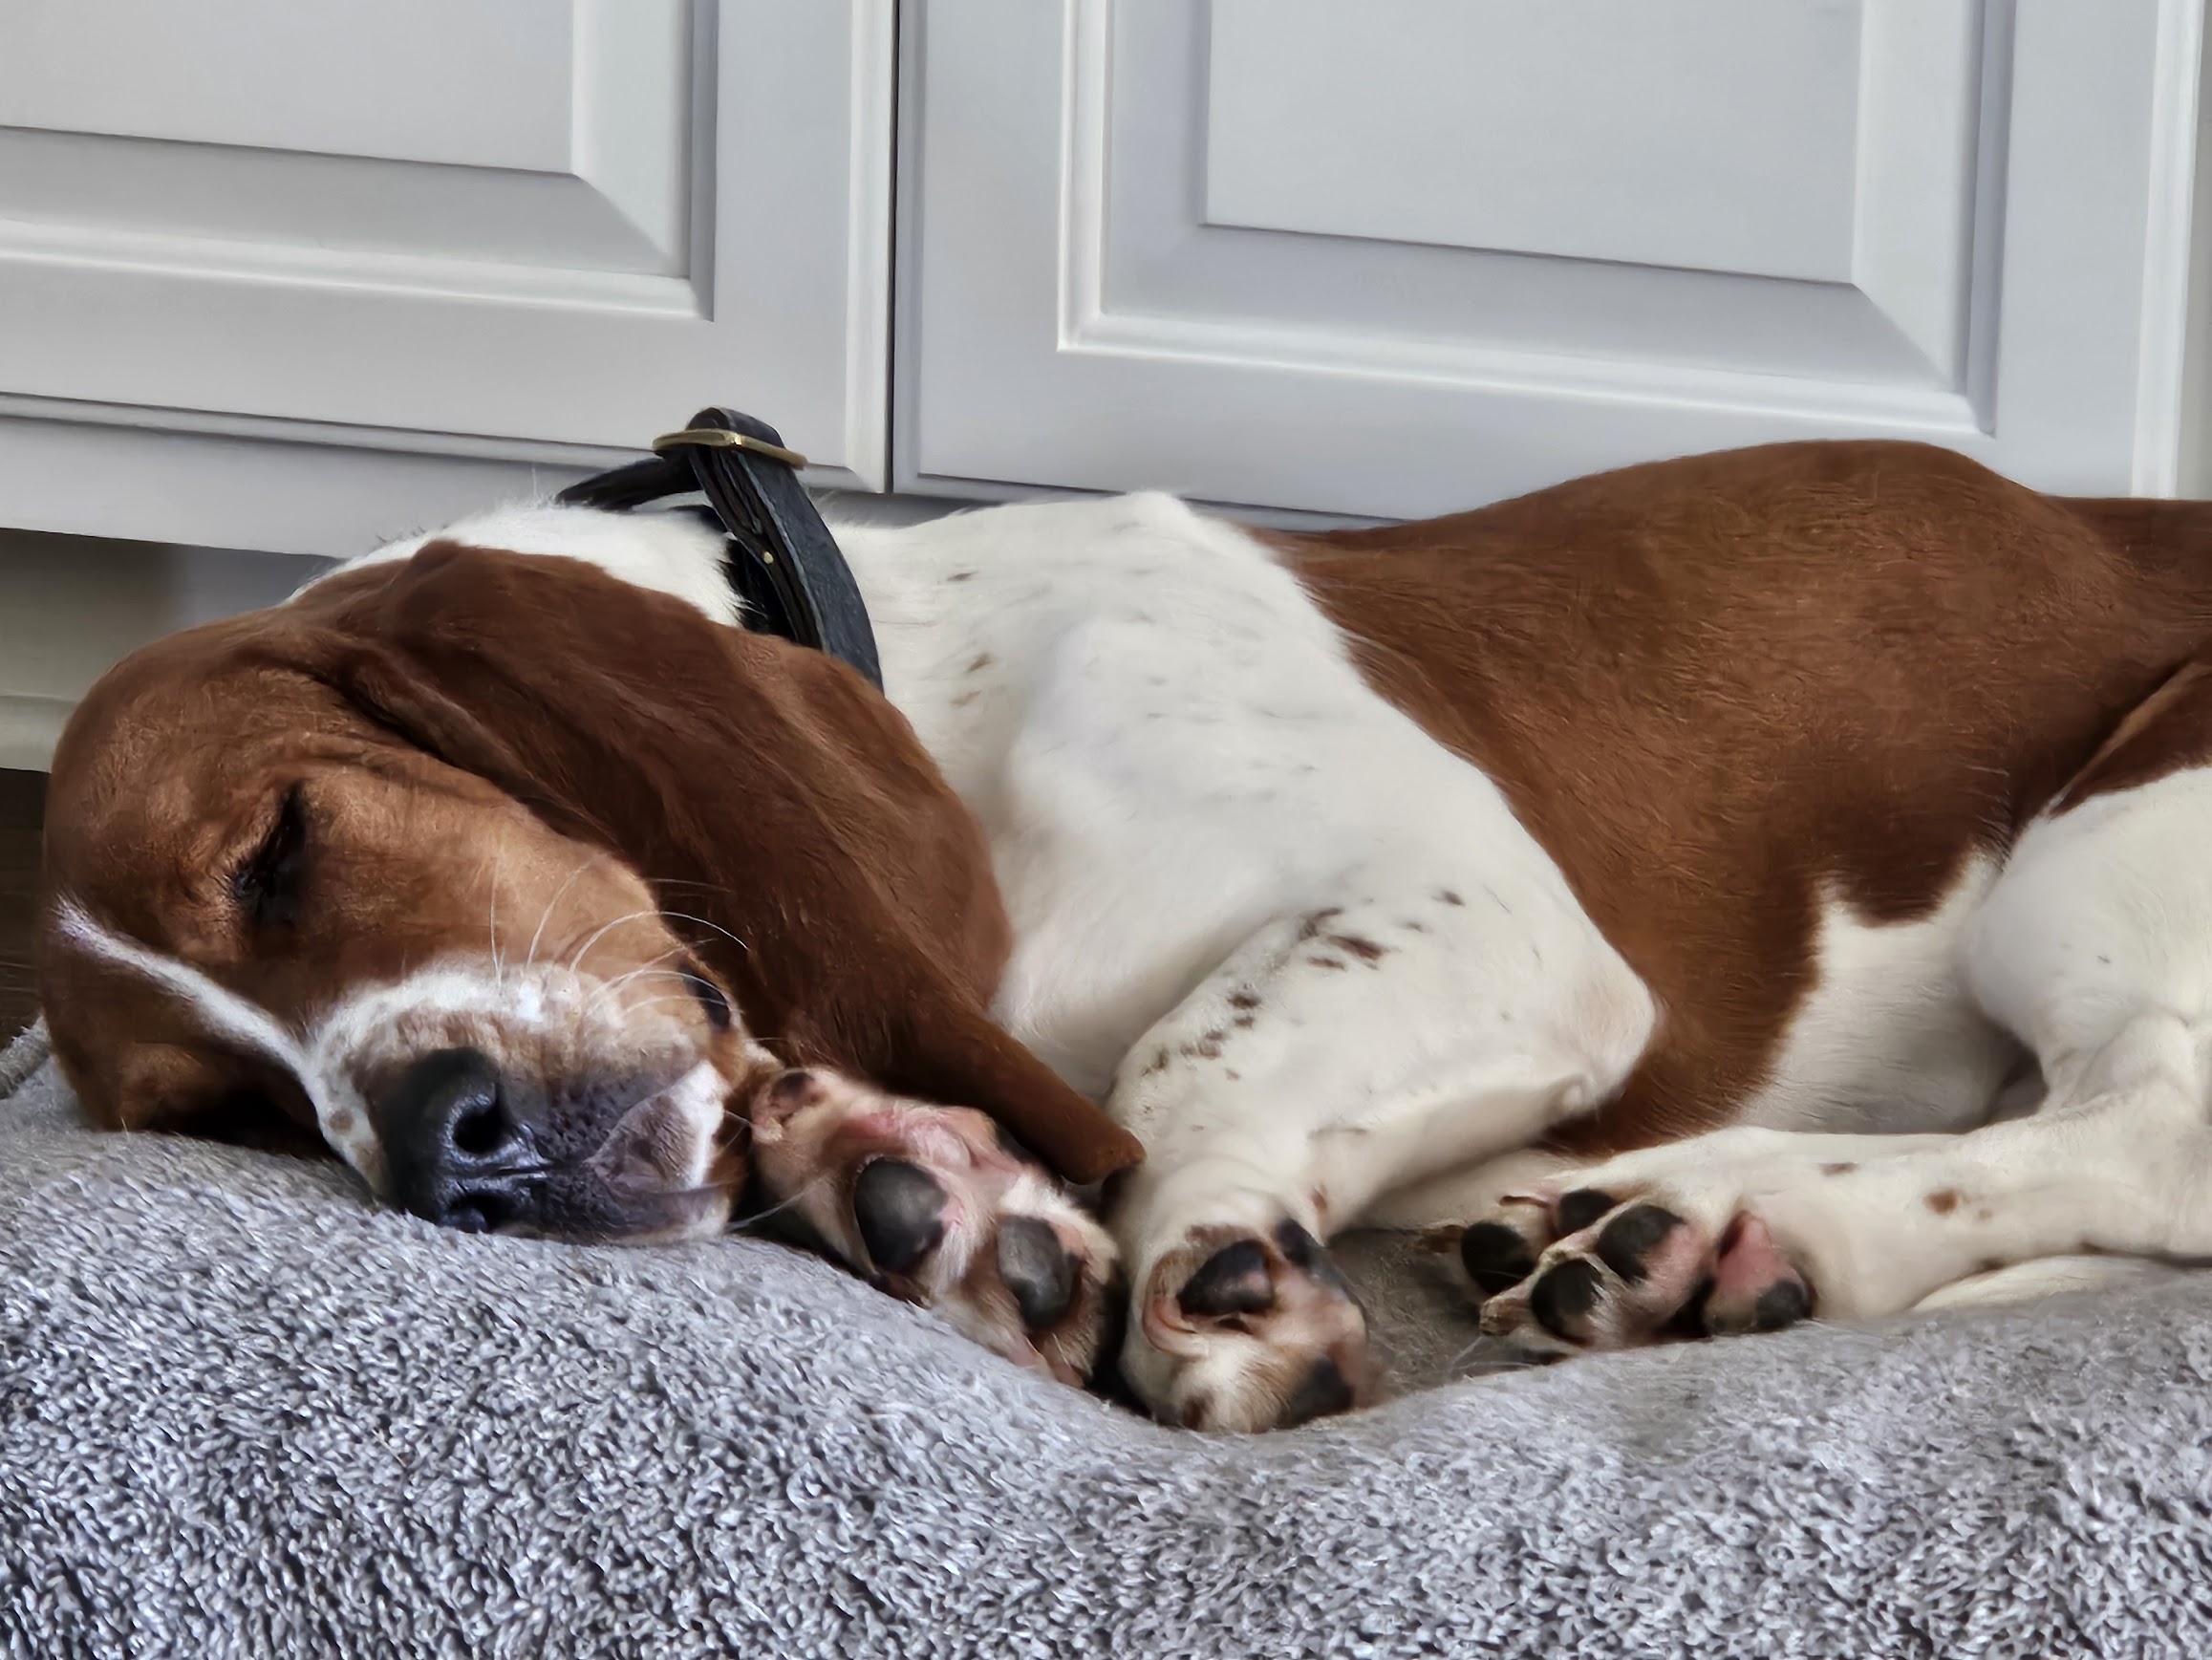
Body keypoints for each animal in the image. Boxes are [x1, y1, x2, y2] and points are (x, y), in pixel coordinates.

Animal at [34, 438, 2212, 1434]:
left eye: (283, 848)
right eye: (229, 1113)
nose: (442, 1145)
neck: (946, 690)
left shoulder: (1489, 922)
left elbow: (1191, 1055)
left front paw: (1208, 1258)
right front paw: (920, 1190)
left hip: (2090, 853)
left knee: (2142, 1123)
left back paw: (1710, 1218)